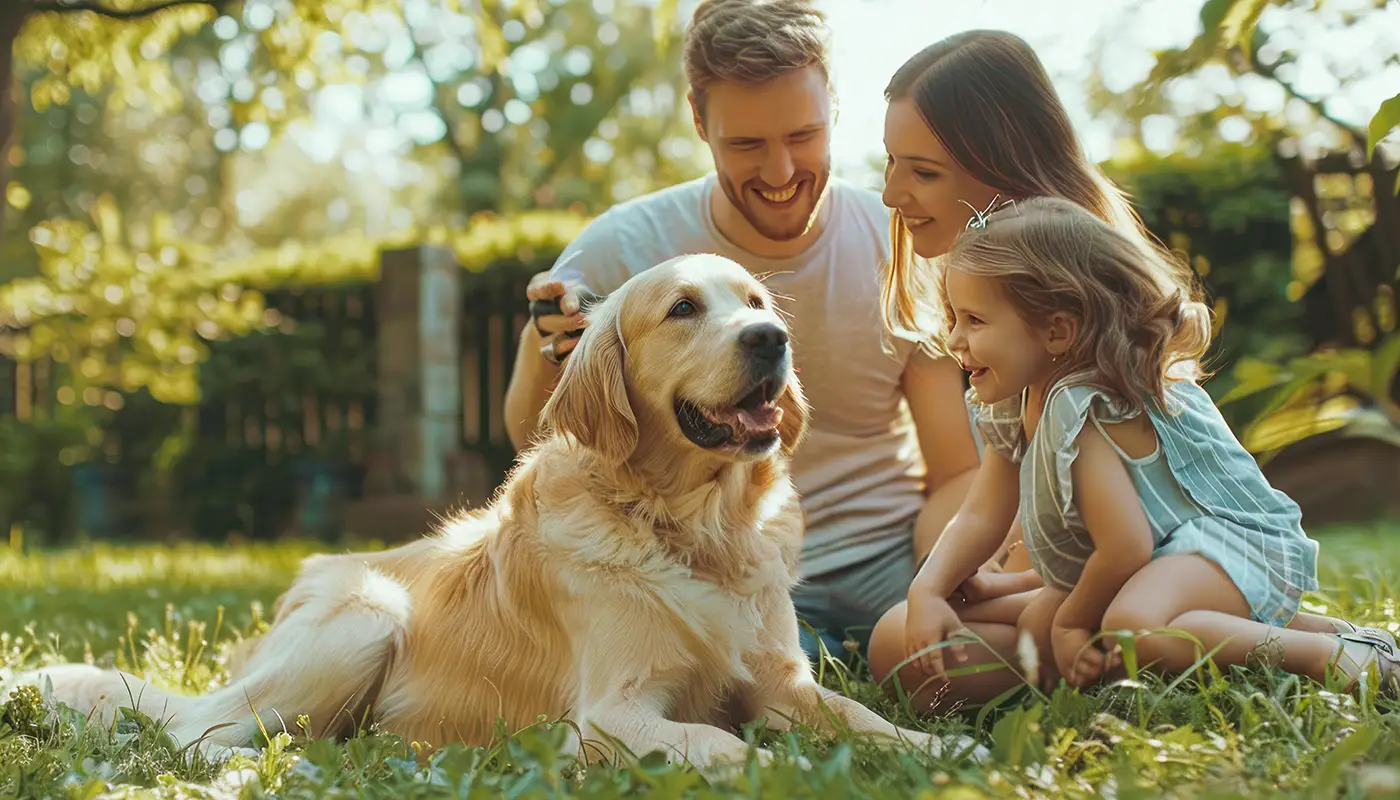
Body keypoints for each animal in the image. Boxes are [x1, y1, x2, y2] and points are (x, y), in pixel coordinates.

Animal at [16, 254, 968, 778]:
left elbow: (861, 720)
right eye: (684, 309)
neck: (694, 526)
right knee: (191, 731)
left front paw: (938, 753)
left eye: (757, 304)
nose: (771, 342)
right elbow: (723, 742)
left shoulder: (783, 680)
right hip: (369, 615)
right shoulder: (612, 714)